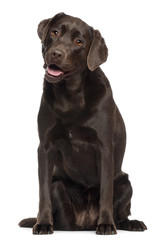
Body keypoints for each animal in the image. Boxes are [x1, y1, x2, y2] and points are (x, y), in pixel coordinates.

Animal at [18, 12, 147, 234]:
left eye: (79, 42)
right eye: (55, 32)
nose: (56, 53)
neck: (70, 95)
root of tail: (86, 223)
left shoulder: (105, 147)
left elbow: (106, 191)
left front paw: (106, 224)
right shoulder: (45, 147)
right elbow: (43, 192)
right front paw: (43, 223)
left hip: (125, 183)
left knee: (121, 212)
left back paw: (130, 223)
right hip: (59, 186)